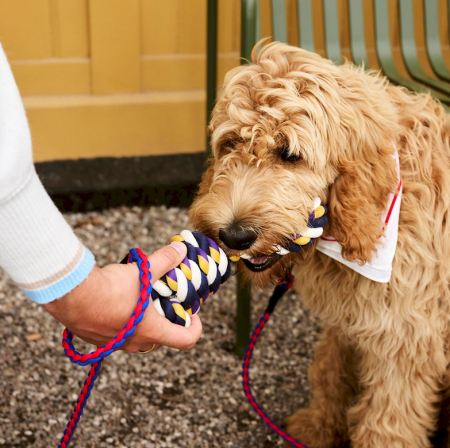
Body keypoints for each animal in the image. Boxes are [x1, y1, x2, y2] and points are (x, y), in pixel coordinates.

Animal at [191, 40, 450, 446]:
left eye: (290, 154)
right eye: (230, 143)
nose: (235, 235)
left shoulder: (404, 337)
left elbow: (388, 420)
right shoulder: (351, 316)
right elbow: (331, 368)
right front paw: (319, 426)